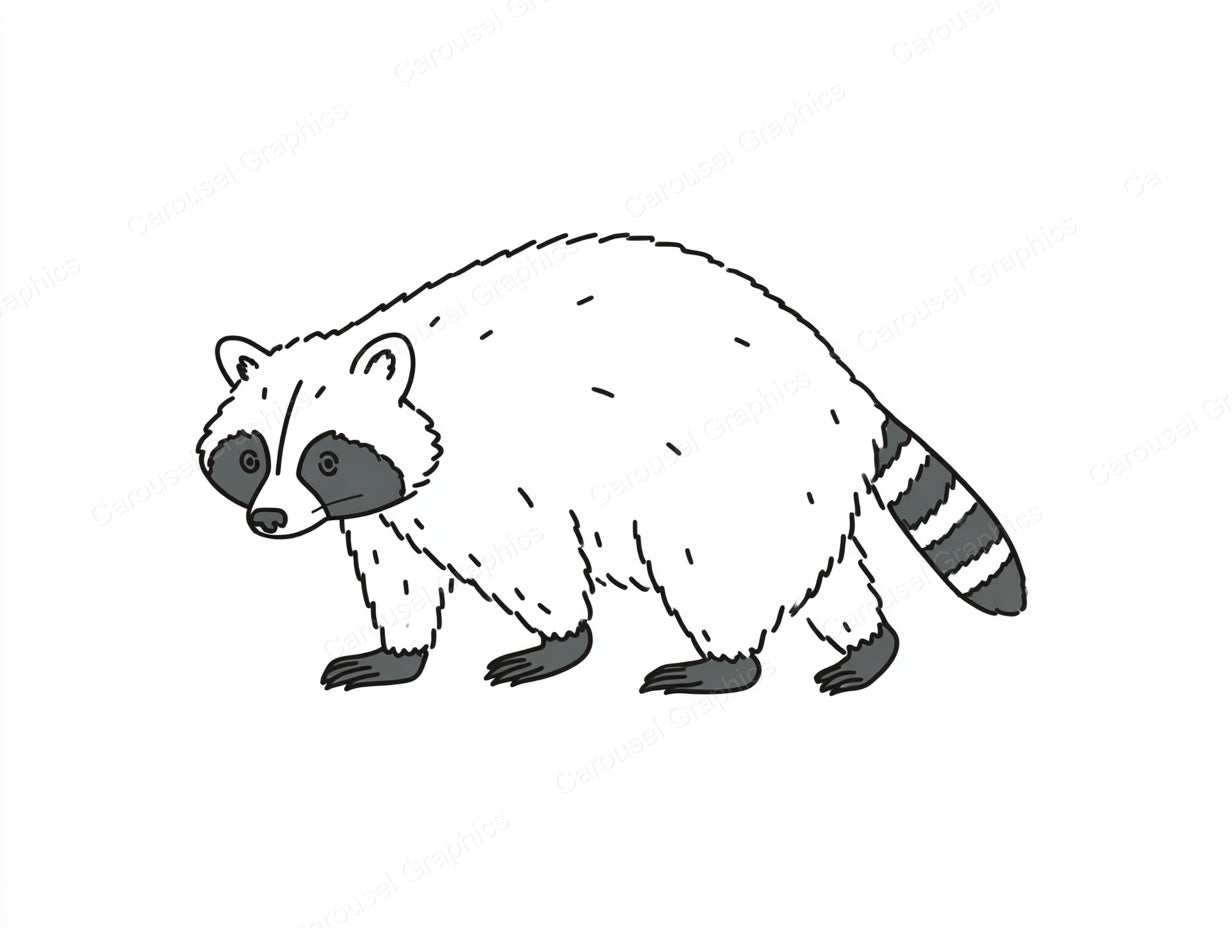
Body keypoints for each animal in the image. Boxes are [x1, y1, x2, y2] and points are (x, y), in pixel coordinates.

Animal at [196, 233, 1026, 695]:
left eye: (327, 460)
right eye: (250, 457)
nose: (269, 519)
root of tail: (842, 381)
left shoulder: (495, 472)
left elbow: (530, 560)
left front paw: (561, 640)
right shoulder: (392, 510)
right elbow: (398, 570)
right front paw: (401, 649)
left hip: (734, 467)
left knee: (712, 569)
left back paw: (727, 664)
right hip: (796, 484)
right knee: (820, 573)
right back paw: (866, 642)